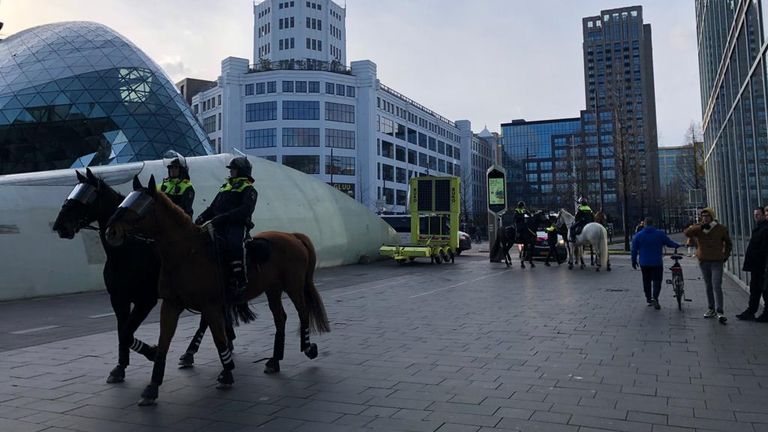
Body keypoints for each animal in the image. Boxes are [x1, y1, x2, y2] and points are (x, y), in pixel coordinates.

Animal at [104, 175, 328, 404]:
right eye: (128, 199)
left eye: (140, 206)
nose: (111, 231)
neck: (186, 253)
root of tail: (293, 236)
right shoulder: (170, 304)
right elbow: (163, 342)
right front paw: (152, 386)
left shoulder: (209, 305)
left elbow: (219, 339)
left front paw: (227, 373)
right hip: (272, 289)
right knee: (280, 318)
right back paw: (274, 360)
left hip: (294, 286)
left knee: (303, 313)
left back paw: (308, 347)